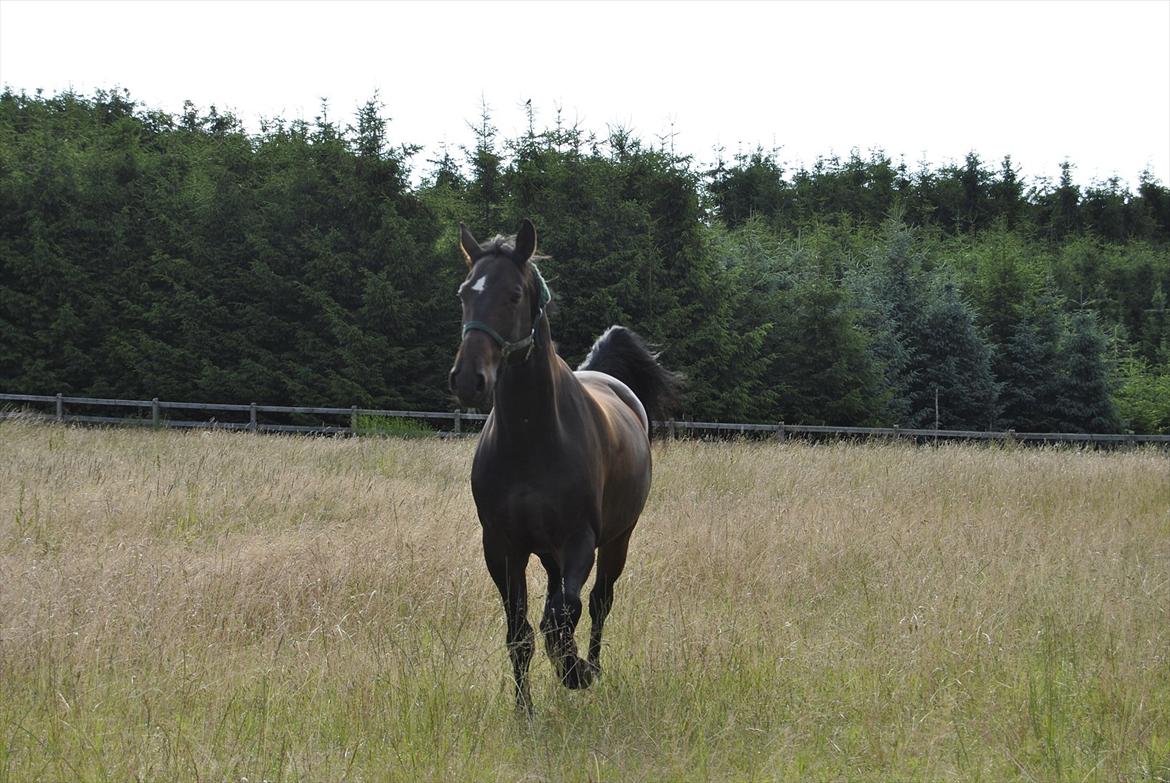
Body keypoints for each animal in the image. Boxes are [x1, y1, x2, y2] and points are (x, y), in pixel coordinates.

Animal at [449, 218, 683, 706]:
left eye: (513, 294)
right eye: (464, 293)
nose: (468, 380)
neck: (531, 441)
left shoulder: (580, 541)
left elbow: (562, 616)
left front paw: (575, 672)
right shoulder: (502, 548)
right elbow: (521, 633)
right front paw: (525, 709)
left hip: (616, 541)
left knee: (597, 603)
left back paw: (590, 665)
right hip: (549, 553)